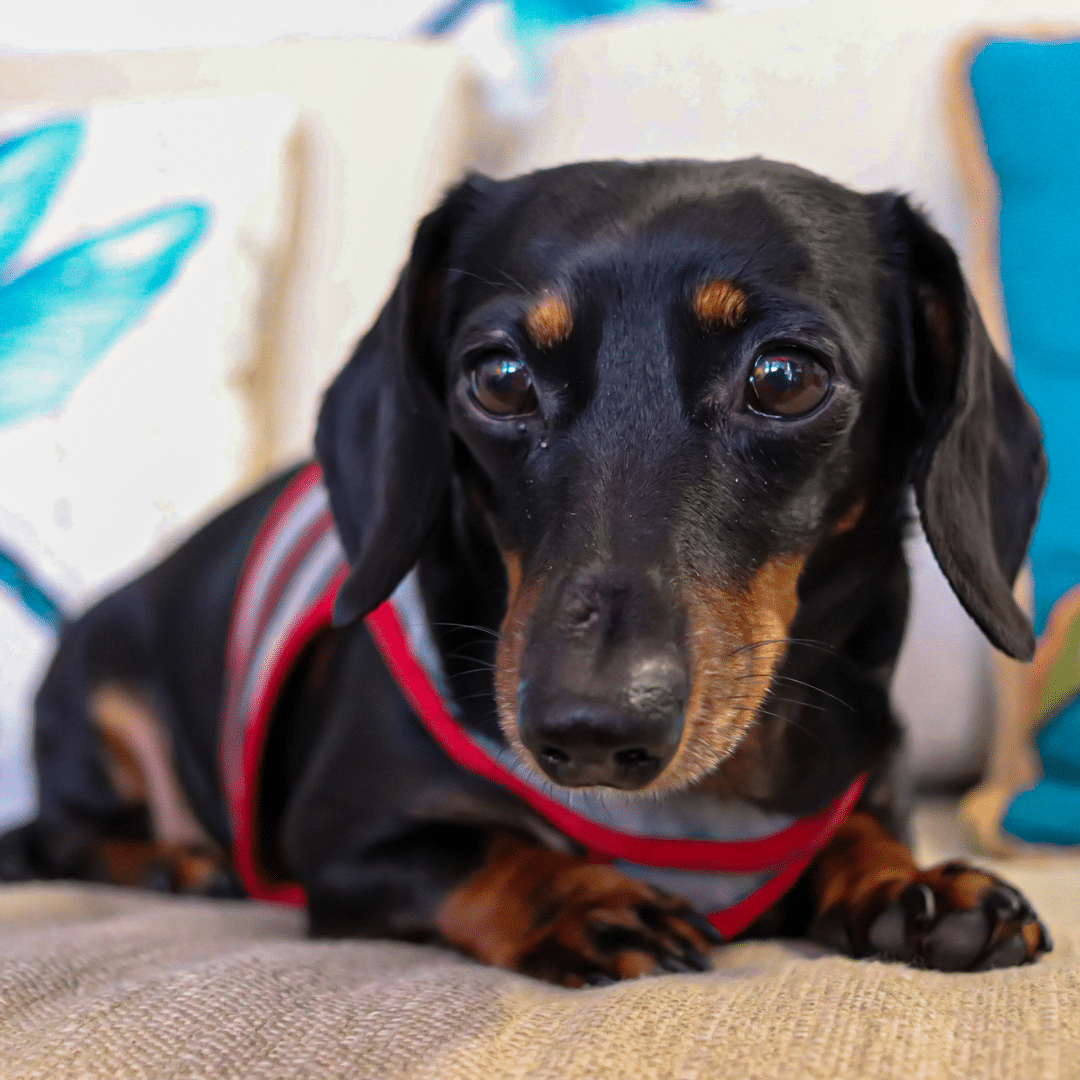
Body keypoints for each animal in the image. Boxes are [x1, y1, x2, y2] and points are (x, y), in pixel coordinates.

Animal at [0, 157, 1049, 989]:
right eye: (499, 377)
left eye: (785, 377)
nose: (589, 731)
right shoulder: (344, 844)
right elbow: (481, 849)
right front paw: (580, 899)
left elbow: (862, 828)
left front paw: (909, 882)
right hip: (92, 700)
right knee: (64, 833)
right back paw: (173, 862)